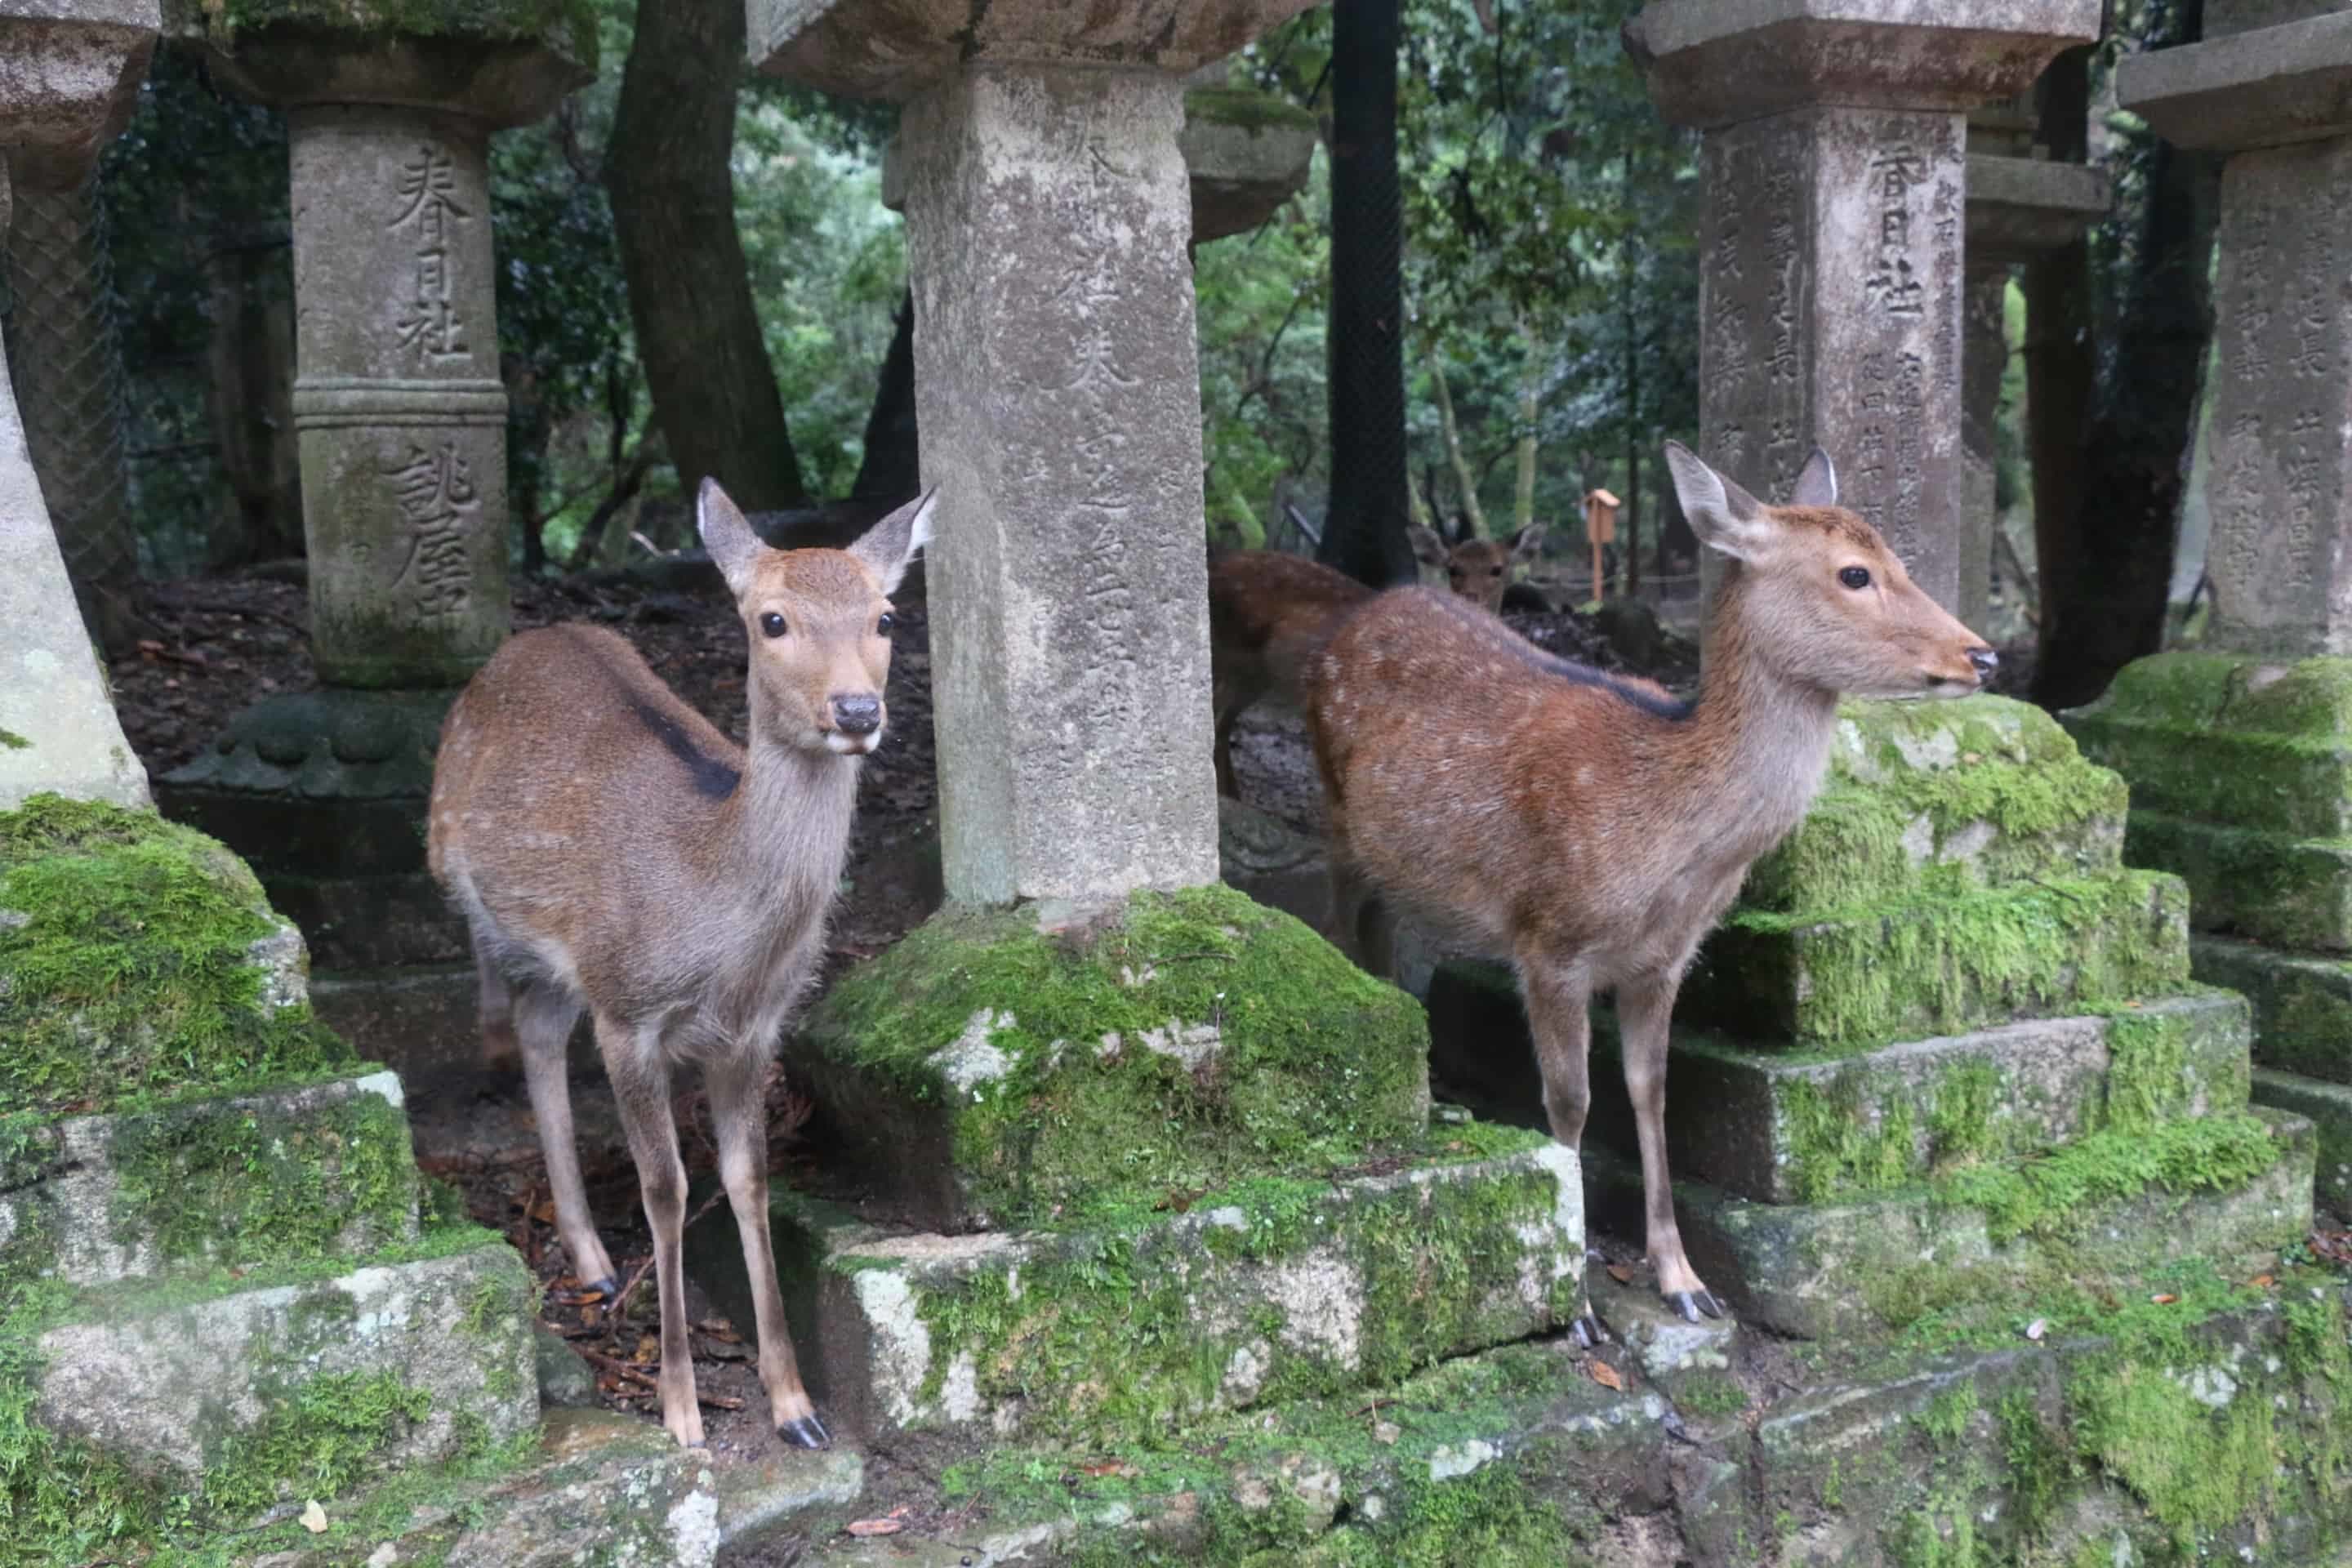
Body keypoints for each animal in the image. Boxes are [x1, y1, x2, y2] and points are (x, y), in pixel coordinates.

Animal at [432, 483, 936, 1457]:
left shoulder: (753, 1034)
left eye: (887, 614)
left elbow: (748, 1181)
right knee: (520, 1020)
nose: (858, 712)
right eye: (772, 619)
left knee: (542, 1030)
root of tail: (526, 639)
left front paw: (796, 1406)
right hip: (501, 916)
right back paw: (588, 1252)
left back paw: (592, 1260)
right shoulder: (628, 1013)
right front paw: (681, 1409)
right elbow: (666, 1190)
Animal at [1307, 444, 1984, 1335]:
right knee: (1338, 922)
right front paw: (1576, 1301)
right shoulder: (1546, 939)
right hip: (1331, 814)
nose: (1983, 655)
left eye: (1899, 559)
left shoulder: (1666, 960)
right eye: (1854, 573)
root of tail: (1359, 612)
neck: (1668, 853)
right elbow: (1569, 1102)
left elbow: (1651, 1093)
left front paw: (1684, 1279)